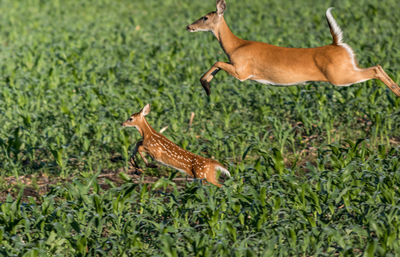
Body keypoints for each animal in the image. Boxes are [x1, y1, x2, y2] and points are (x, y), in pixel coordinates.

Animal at [188, 0, 400, 96]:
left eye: (205, 17)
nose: (189, 26)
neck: (236, 46)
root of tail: (337, 44)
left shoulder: (243, 71)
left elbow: (217, 61)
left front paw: (206, 86)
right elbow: (217, 64)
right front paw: (207, 86)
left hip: (340, 76)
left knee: (375, 69)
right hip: (347, 69)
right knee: (378, 67)